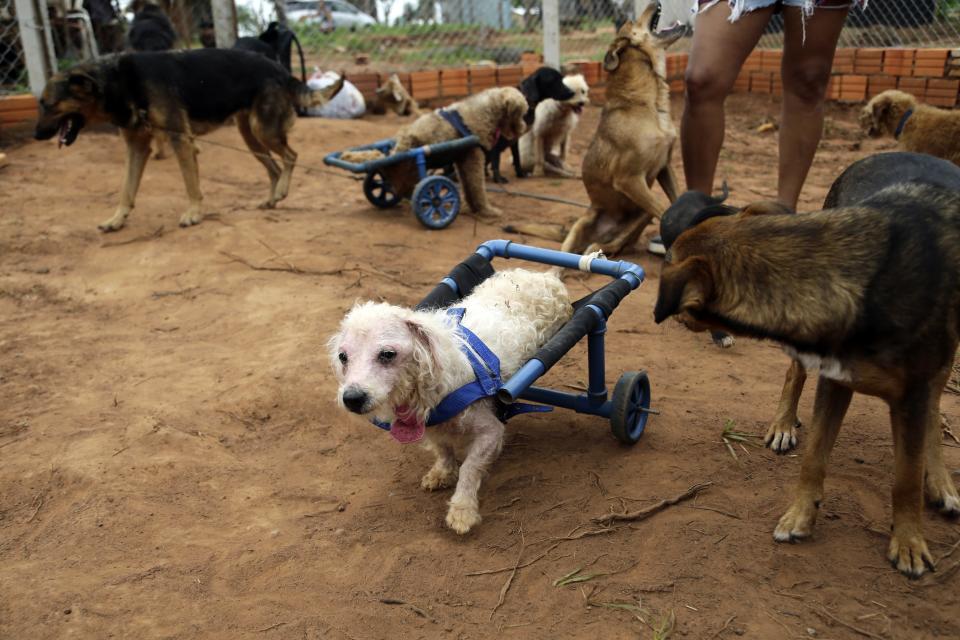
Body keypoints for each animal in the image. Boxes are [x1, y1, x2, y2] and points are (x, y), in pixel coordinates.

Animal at [36, 48, 344, 232]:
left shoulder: (180, 140)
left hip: (263, 130)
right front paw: (116, 219)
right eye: (40, 105)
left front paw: (194, 212)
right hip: (250, 135)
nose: (36, 135)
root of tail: (279, 68)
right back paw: (272, 199)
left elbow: (190, 183)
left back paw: (280, 192)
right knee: (275, 168)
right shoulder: (137, 147)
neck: (120, 82)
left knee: (291, 156)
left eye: (48, 105)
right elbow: (126, 188)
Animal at [330, 270, 568, 536]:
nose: (352, 399)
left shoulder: (491, 432)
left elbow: (469, 468)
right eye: (343, 357)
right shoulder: (432, 427)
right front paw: (442, 473)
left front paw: (462, 509)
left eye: (387, 354)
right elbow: (443, 450)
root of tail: (543, 274)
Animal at [506, 6, 688, 255]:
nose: (654, 3)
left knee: (614, 244)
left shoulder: (664, 167)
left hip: (641, 214)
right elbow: (668, 212)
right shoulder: (628, 178)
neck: (647, 104)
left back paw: (605, 248)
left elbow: (675, 204)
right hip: (582, 226)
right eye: (632, 21)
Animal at [652, 152, 960, 576]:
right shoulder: (835, 380)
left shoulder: (913, 390)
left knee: (933, 412)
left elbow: (907, 477)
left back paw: (942, 482)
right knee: (794, 373)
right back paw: (783, 424)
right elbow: (814, 456)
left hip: (946, 356)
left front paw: (909, 540)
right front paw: (799, 516)